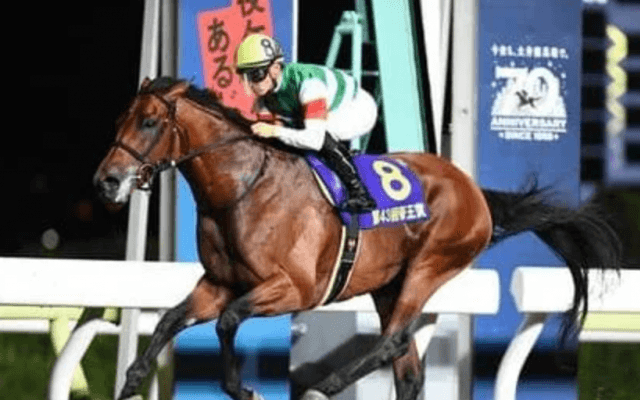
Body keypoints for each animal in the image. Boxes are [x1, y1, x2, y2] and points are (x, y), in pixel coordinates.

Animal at [93, 76, 622, 400]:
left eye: (148, 122)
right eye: (119, 120)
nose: (107, 181)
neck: (242, 189)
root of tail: (473, 190)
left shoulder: (294, 288)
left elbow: (228, 321)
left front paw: (244, 388)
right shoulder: (218, 283)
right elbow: (170, 320)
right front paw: (132, 379)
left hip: (431, 265)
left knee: (392, 342)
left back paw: (324, 385)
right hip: (389, 285)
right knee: (408, 370)